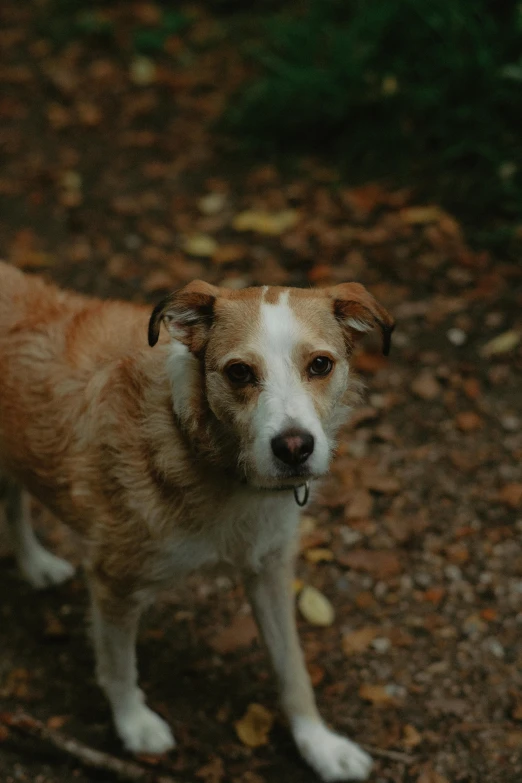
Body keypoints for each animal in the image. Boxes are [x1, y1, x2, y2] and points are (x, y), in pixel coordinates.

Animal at [0, 260, 390, 780]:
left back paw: (35, 564)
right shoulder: (113, 581)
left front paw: (319, 744)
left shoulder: (269, 568)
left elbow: (292, 668)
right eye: (239, 372)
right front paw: (134, 725)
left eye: (321, 365)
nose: (294, 448)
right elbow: (118, 667)